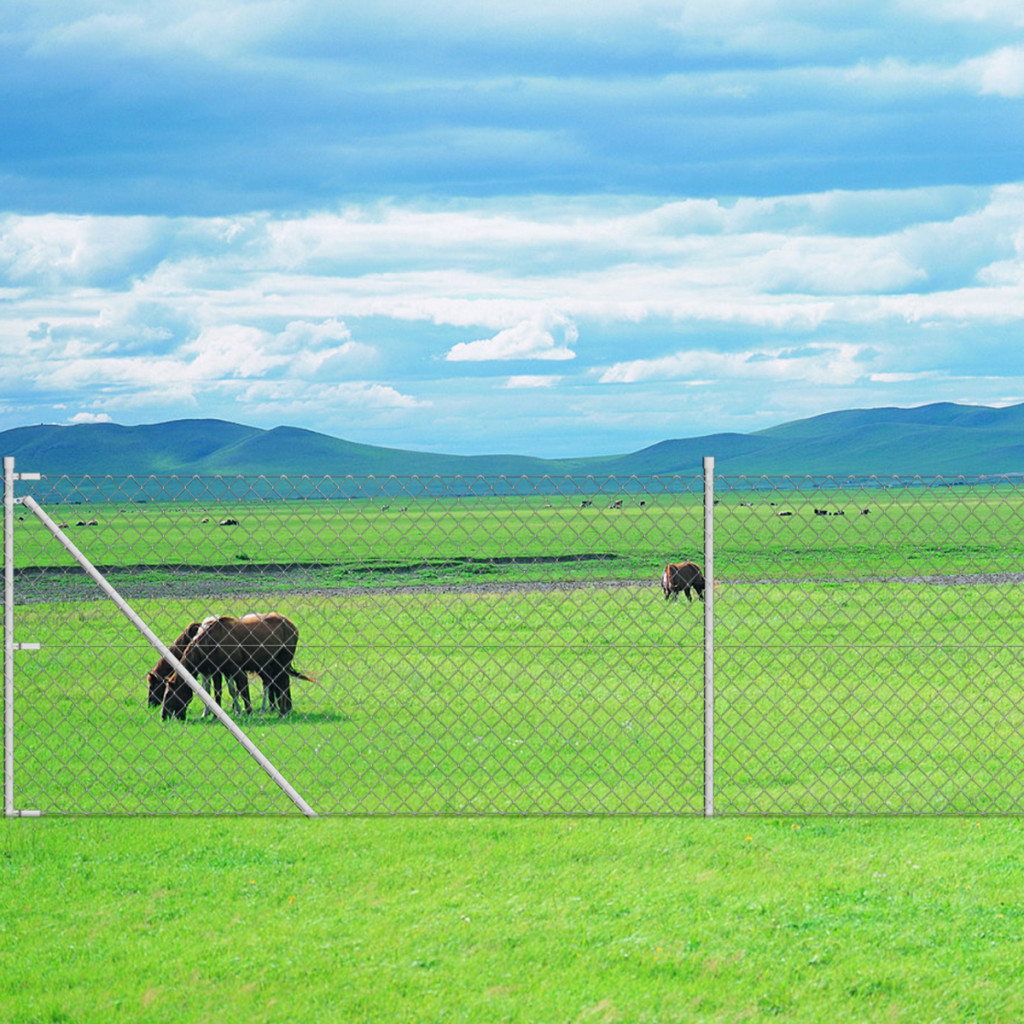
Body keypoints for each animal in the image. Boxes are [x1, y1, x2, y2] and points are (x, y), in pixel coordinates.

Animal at [158, 614, 311, 720]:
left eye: (169, 694)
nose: (163, 716)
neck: (209, 644)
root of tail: (294, 628)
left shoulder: (237, 669)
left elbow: (243, 691)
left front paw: (248, 712)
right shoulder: (219, 671)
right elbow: (219, 692)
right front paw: (215, 715)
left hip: (283, 662)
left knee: (283, 684)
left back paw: (282, 712)